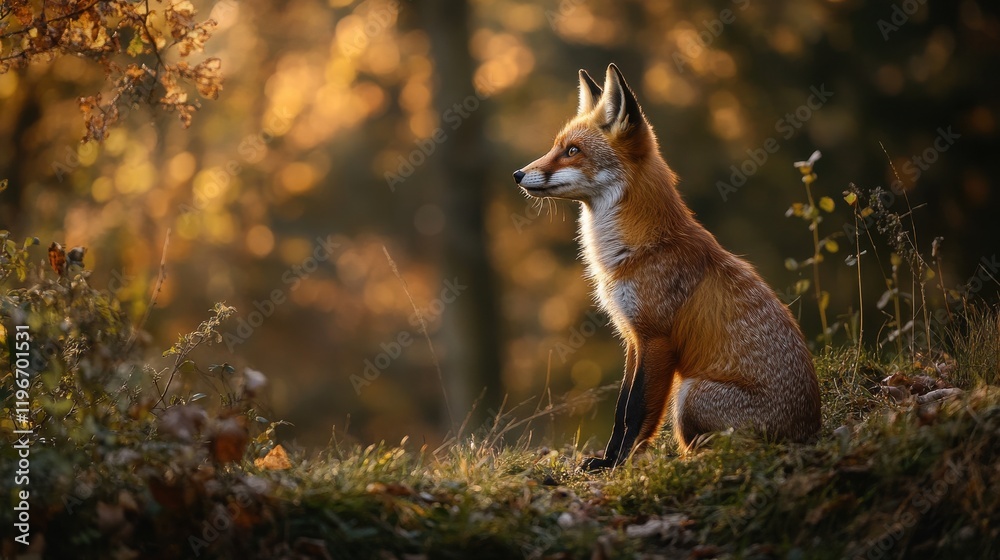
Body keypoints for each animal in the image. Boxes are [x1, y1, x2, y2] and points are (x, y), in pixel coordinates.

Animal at [512, 64, 822, 470]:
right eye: (555, 147)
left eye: (573, 151)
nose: (517, 174)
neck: (639, 249)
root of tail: (811, 433)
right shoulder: (632, 336)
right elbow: (621, 409)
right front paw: (608, 460)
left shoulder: (656, 339)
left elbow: (636, 412)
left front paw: (618, 464)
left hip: (689, 393)